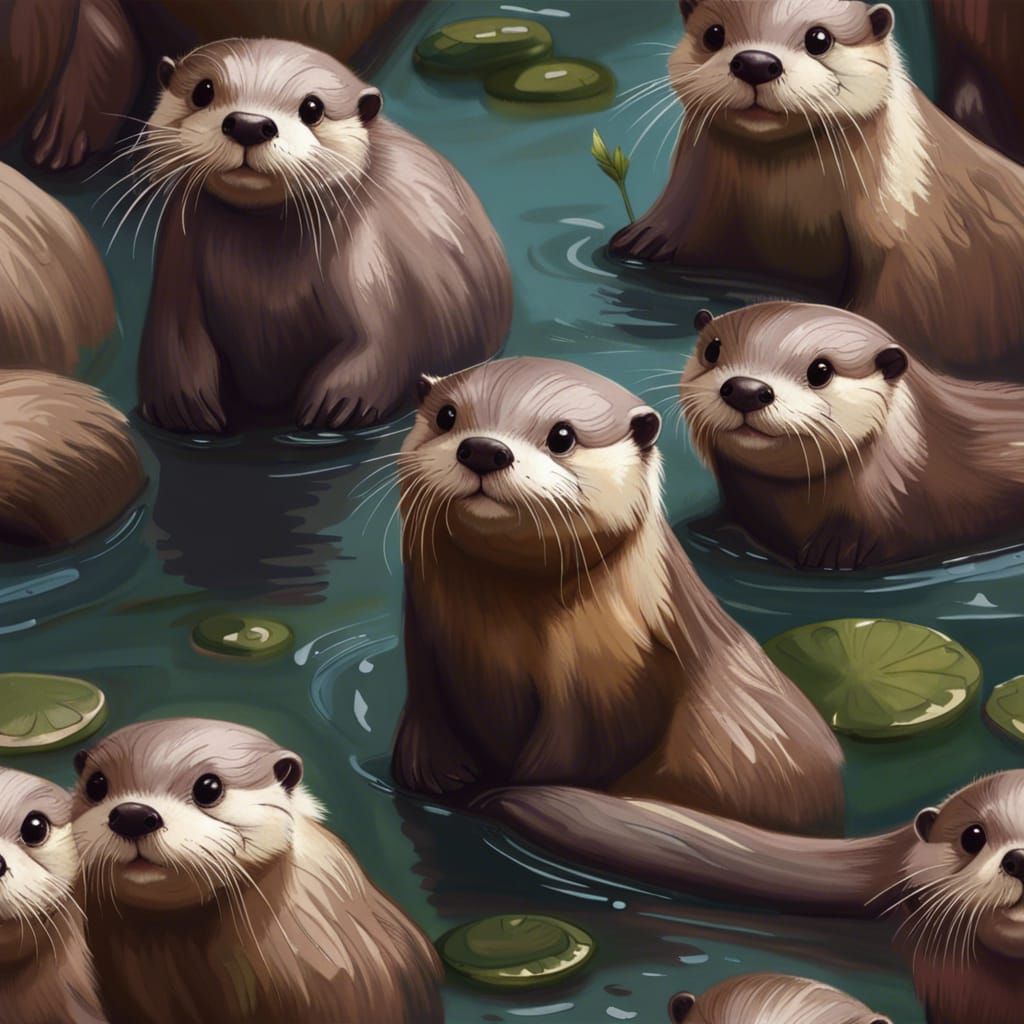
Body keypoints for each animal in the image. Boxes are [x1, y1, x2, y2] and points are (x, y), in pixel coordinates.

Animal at [135, 37, 511, 434]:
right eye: (202, 90)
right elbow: (174, 334)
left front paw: (337, 404)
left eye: (312, 108)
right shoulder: (176, 259)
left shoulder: (371, 266)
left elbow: (379, 340)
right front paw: (181, 404)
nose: (249, 124)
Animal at [391, 357, 844, 835]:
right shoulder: (423, 632)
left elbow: (574, 757)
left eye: (562, 436)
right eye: (446, 416)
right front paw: (432, 769)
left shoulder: (609, 680)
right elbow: (424, 699)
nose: (481, 449)